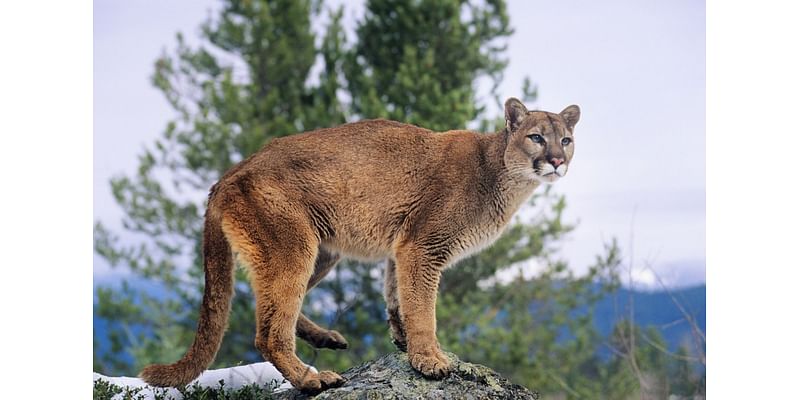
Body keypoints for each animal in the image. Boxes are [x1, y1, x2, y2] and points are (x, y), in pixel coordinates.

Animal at [141, 97, 580, 394]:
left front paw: (404, 343)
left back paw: (326, 339)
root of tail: (229, 173)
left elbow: (398, 296)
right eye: (536, 137)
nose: (557, 161)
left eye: (566, 139)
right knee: (268, 331)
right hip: (294, 247)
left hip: (320, 251)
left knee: (266, 306)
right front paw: (430, 360)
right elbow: (423, 307)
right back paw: (310, 379)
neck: (502, 174)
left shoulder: (402, 248)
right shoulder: (423, 246)